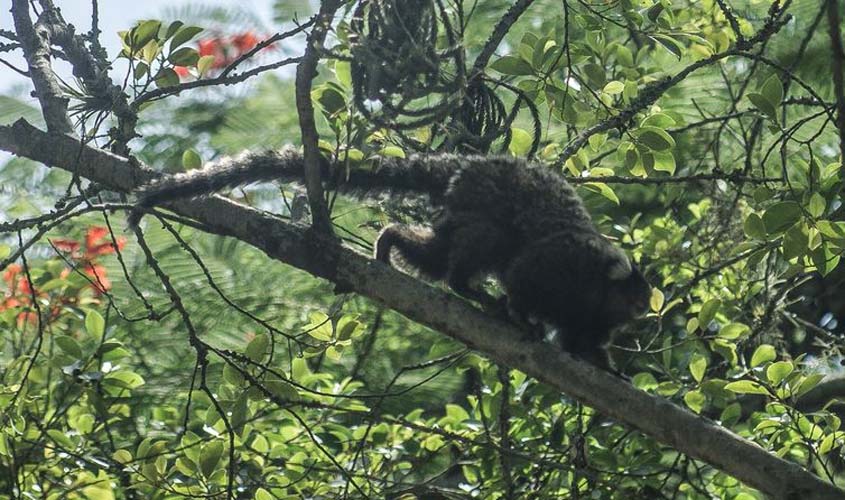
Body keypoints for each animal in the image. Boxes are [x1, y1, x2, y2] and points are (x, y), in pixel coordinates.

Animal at [129, 149, 651, 371]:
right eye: (635, 298)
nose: (645, 312)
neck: (594, 289)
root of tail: (465, 165)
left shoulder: (592, 319)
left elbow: (582, 343)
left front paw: (608, 369)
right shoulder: (561, 266)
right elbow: (523, 277)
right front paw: (522, 317)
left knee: (438, 254)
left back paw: (392, 241)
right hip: (481, 201)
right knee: (484, 245)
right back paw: (467, 287)